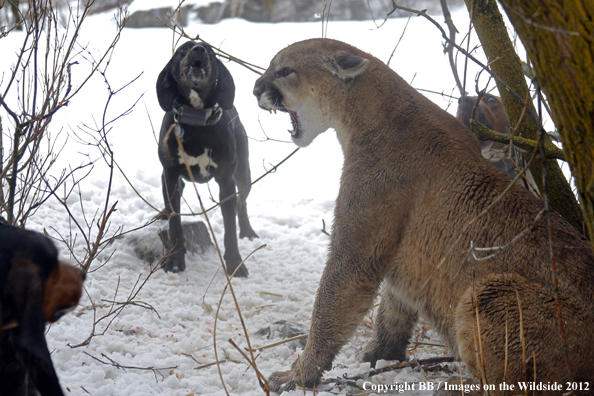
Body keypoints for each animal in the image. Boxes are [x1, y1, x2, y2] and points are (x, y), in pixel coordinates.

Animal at [155, 41, 256, 276]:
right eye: (183, 49)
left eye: (210, 51)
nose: (199, 50)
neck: (196, 120)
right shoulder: (170, 175)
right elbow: (175, 223)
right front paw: (175, 261)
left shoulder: (226, 181)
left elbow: (230, 228)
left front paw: (235, 264)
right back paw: (163, 213)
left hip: (243, 174)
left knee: (242, 203)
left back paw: (247, 231)